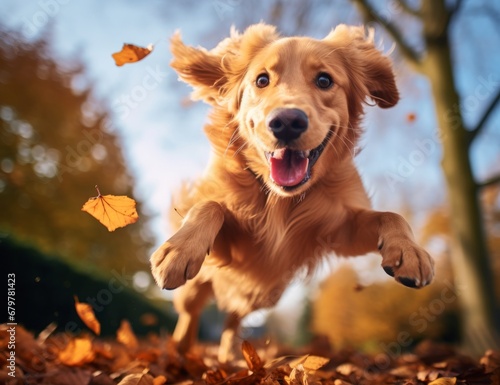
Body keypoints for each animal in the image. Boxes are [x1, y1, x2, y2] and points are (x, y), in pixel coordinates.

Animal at [149, 23, 434, 360]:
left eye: (324, 80)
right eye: (262, 80)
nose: (286, 121)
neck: (281, 200)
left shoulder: (340, 231)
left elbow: (390, 215)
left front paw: (409, 251)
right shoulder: (233, 243)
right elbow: (211, 206)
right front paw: (180, 247)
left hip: (266, 294)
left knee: (235, 315)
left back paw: (229, 353)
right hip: (202, 284)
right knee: (192, 311)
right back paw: (181, 347)